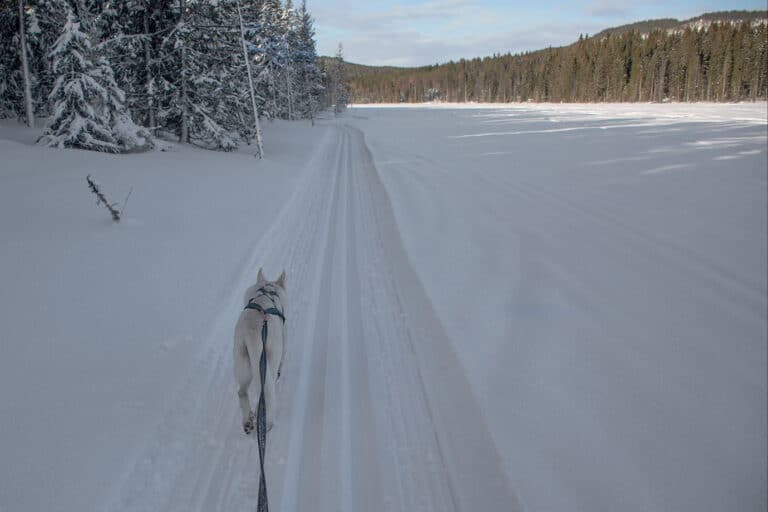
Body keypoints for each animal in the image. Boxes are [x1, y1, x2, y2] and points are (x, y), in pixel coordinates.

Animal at [232, 270, 286, 434]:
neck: (267, 290)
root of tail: (253, 333)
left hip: (242, 361)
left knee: (242, 392)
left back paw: (248, 421)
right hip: (269, 363)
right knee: (264, 393)